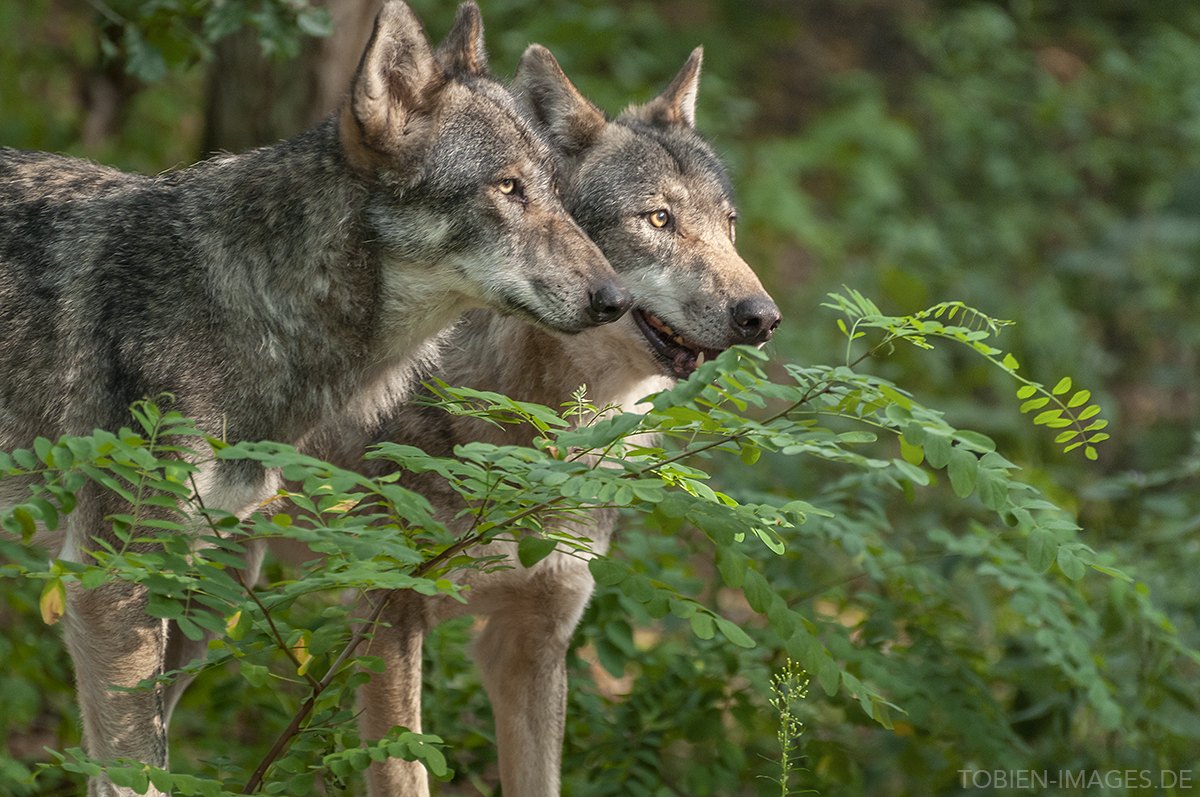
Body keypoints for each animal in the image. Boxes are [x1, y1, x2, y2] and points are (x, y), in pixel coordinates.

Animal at [0, 3, 633, 792]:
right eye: (507, 187)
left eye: (555, 192)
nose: (617, 299)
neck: (252, 305)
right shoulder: (113, 580)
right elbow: (135, 770)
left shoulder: (181, 578)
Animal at [343, 42, 782, 797]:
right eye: (658, 220)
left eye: (728, 225)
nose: (763, 317)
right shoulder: (390, 616)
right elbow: (405, 770)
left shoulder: (533, 641)